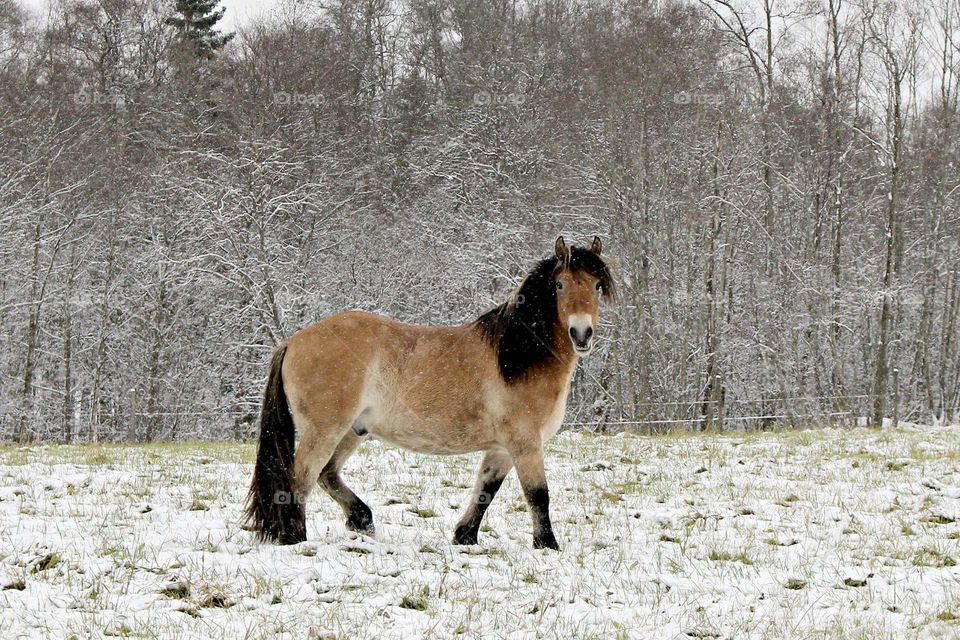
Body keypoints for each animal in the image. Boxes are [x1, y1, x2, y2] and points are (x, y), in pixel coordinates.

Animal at [245, 236, 615, 550]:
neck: (515, 356)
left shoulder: (502, 448)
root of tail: (292, 341)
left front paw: (465, 537)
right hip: (323, 430)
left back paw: (361, 520)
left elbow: (486, 489)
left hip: (352, 430)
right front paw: (547, 546)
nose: (582, 333)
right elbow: (538, 494)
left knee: (326, 473)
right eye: (560, 285)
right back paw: (295, 539)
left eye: (597, 285)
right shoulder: (524, 441)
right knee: (299, 480)